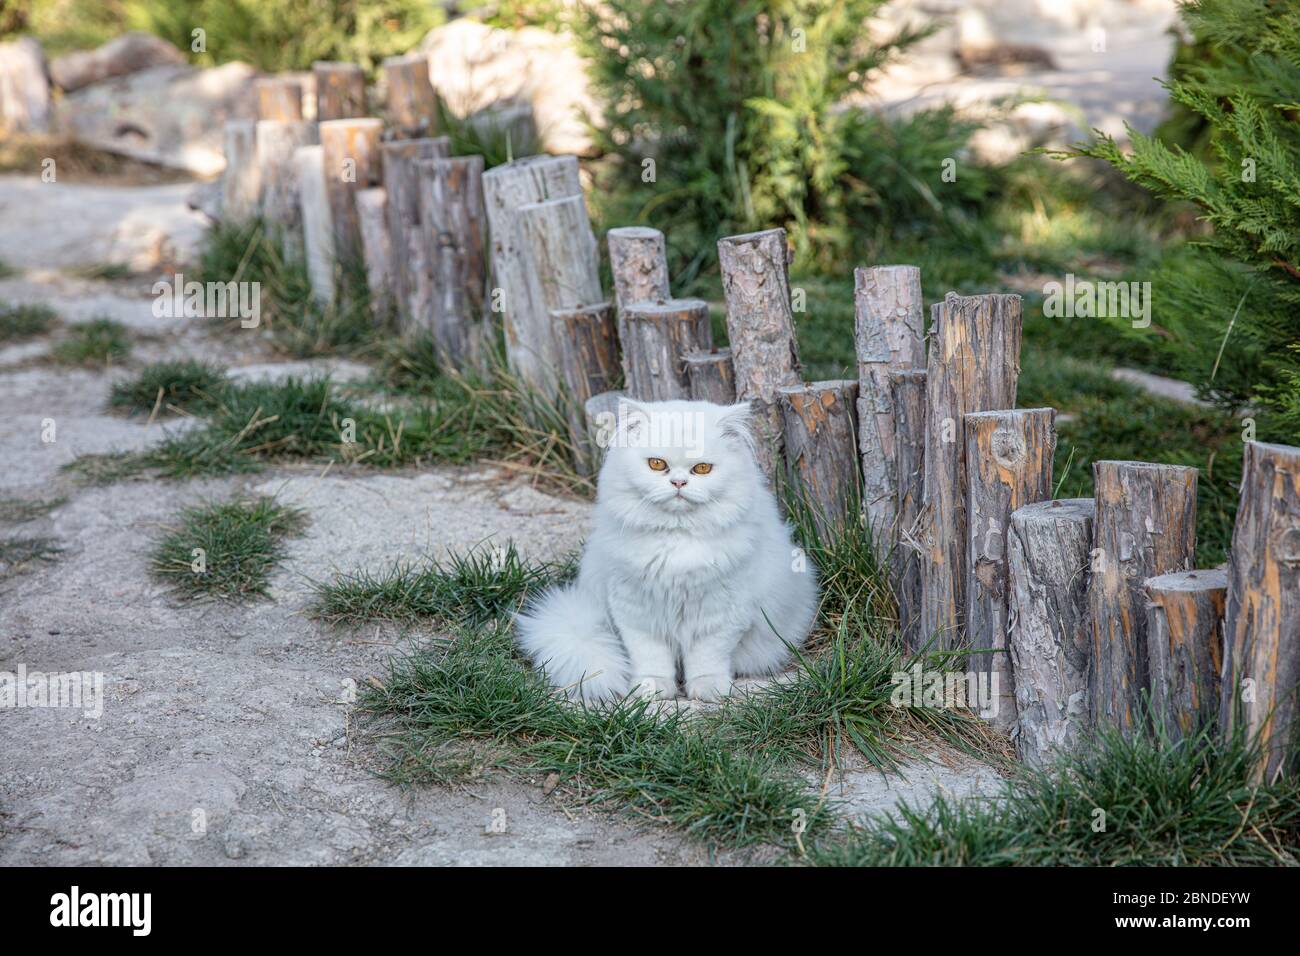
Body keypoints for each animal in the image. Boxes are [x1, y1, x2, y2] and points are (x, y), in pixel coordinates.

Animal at [512, 395, 816, 702]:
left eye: (702, 469)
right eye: (657, 464)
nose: (678, 482)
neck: (676, 539)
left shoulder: (722, 612)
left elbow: (707, 657)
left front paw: (708, 689)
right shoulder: (636, 610)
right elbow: (651, 657)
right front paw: (652, 688)